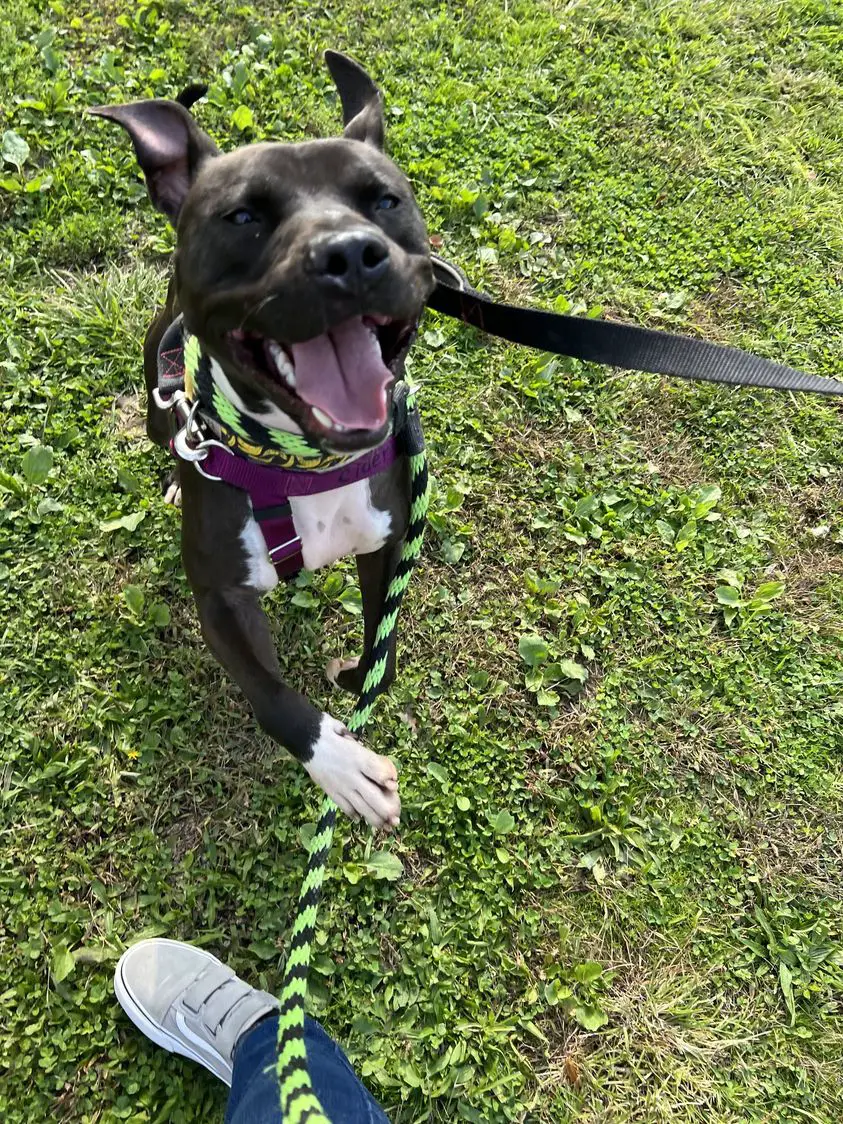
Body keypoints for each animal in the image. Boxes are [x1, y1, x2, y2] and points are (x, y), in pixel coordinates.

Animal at [91, 54, 436, 827]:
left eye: (384, 201)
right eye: (243, 217)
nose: (350, 254)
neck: (299, 463)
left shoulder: (387, 541)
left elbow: (386, 649)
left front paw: (359, 681)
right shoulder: (220, 598)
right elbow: (272, 696)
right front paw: (340, 765)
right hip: (154, 393)